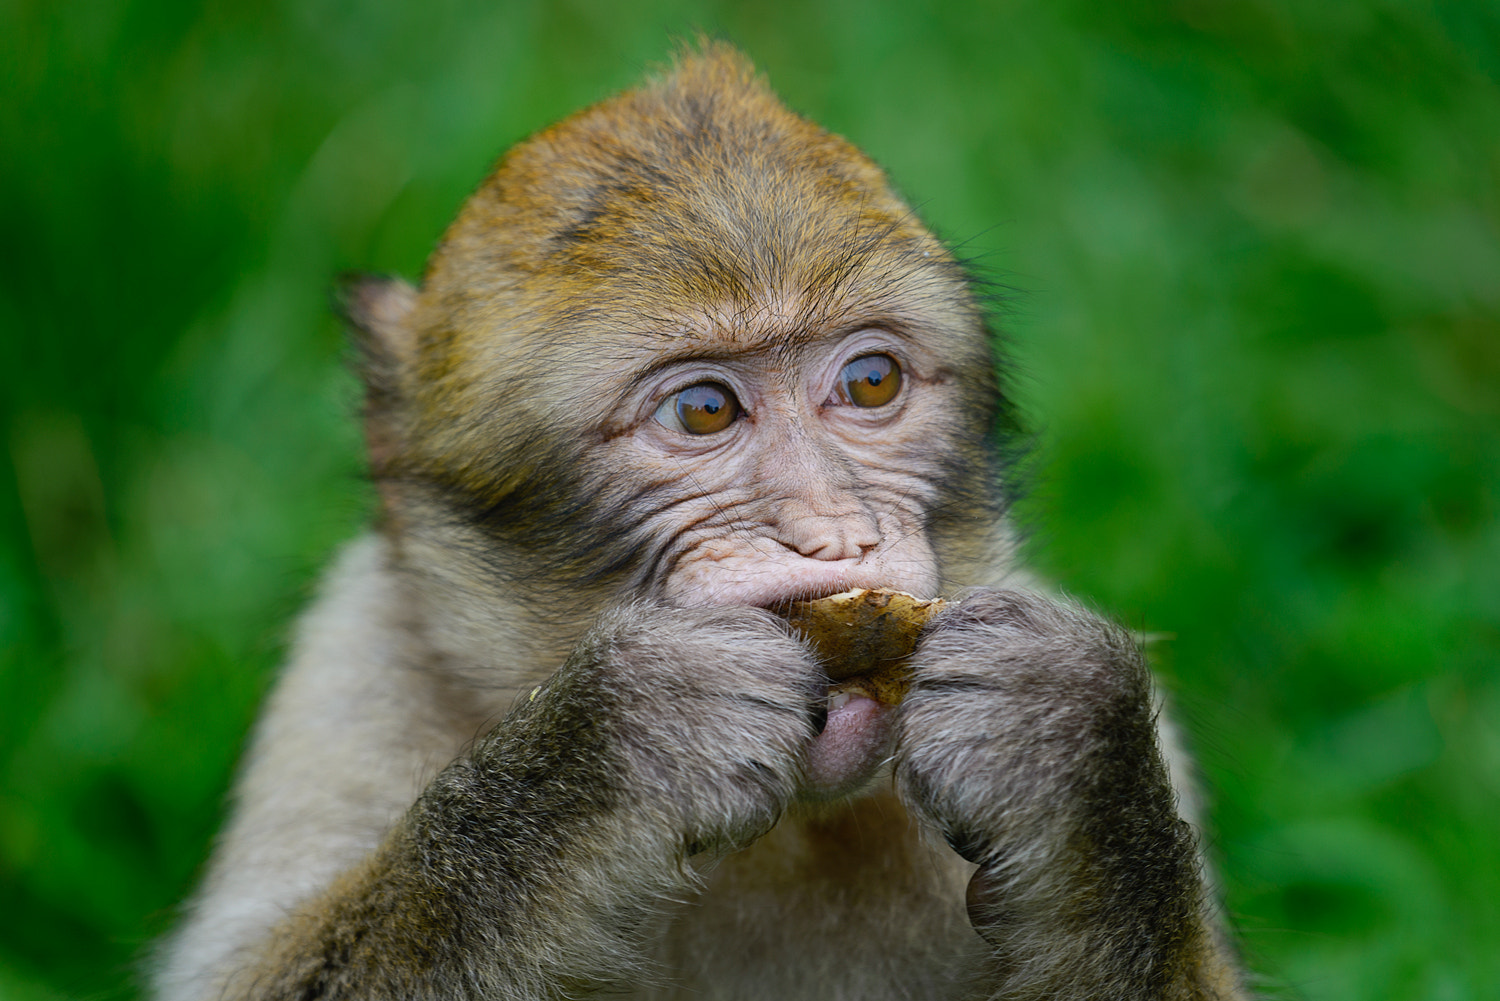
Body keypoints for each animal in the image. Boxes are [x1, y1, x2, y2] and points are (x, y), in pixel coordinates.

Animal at [154, 43, 1248, 1001]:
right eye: (705, 410)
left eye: (872, 380)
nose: (834, 532)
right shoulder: (351, 666)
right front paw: (614, 745)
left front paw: (1073, 744)